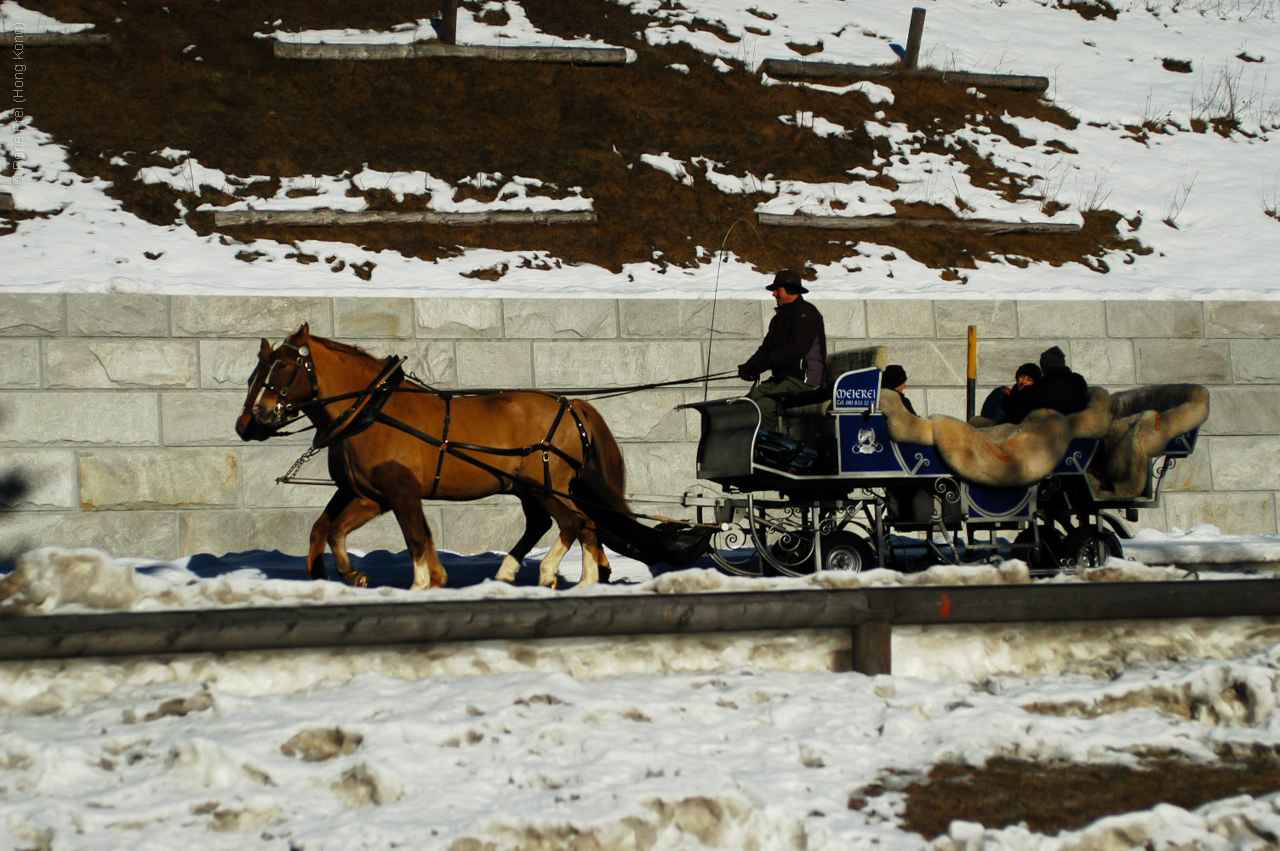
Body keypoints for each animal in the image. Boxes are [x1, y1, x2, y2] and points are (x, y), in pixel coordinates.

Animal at [232, 325, 632, 591]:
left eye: (284, 367)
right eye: (254, 374)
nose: (249, 422)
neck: (372, 410)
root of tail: (573, 405)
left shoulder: (399, 491)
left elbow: (415, 536)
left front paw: (422, 584)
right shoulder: (365, 494)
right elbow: (328, 529)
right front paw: (338, 575)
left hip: (545, 484)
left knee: (574, 522)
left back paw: (556, 574)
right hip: (528, 488)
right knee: (565, 523)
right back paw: (557, 577)